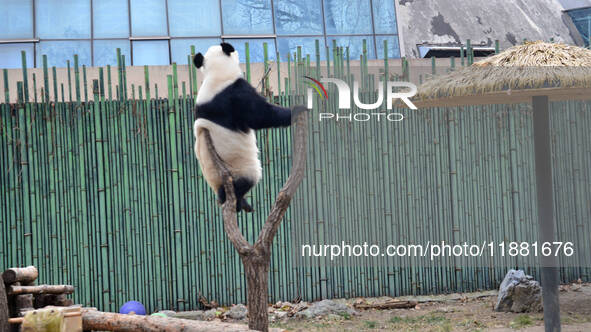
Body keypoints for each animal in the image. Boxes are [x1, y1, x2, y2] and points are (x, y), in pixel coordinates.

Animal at [194, 42, 296, 213]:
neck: (215, 74)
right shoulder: (235, 93)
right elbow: (260, 115)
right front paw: (297, 110)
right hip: (237, 167)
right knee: (247, 180)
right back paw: (237, 202)